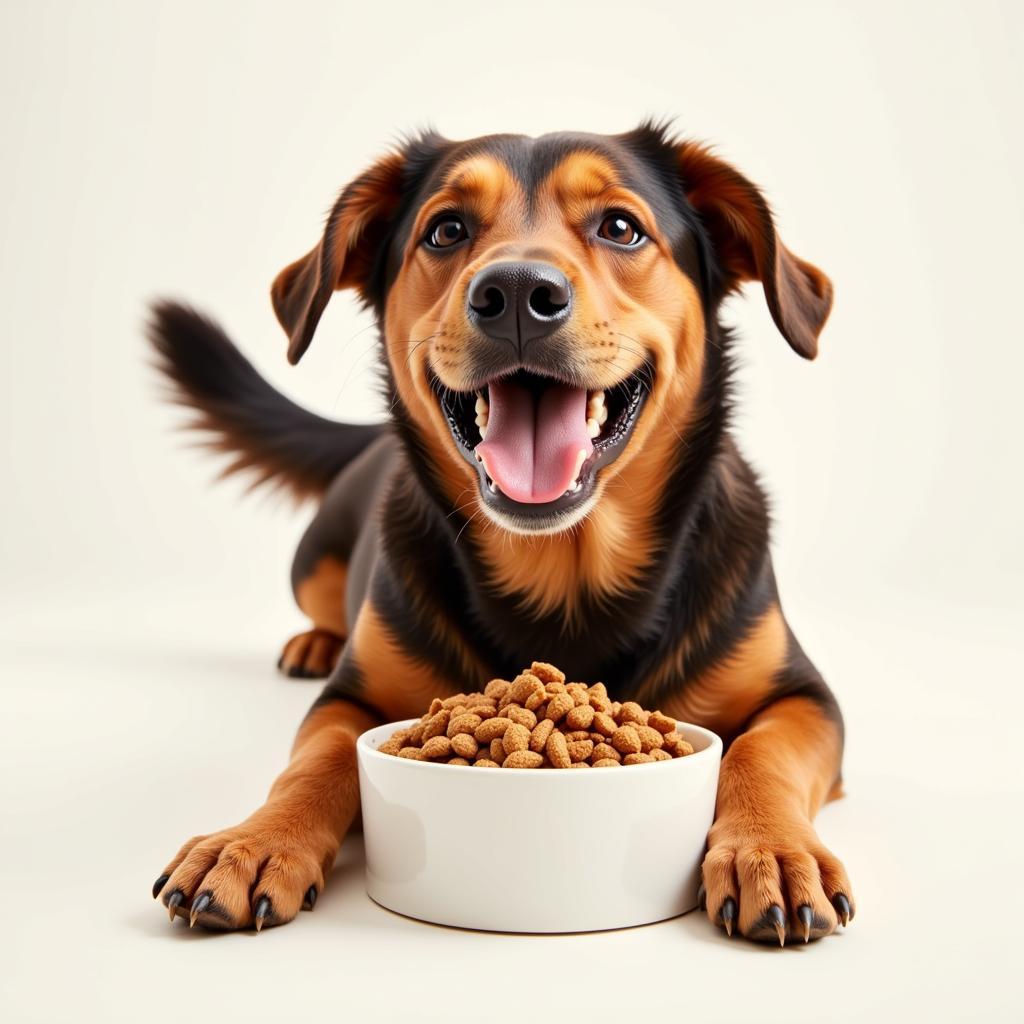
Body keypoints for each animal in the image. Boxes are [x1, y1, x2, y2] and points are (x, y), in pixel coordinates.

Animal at [149, 123, 856, 946]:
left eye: (621, 227)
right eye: (446, 230)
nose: (517, 293)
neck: (563, 580)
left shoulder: (803, 697)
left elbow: (760, 754)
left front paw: (770, 849)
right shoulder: (349, 702)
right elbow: (314, 763)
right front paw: (253, 841)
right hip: (313, 561)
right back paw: (313, 643)